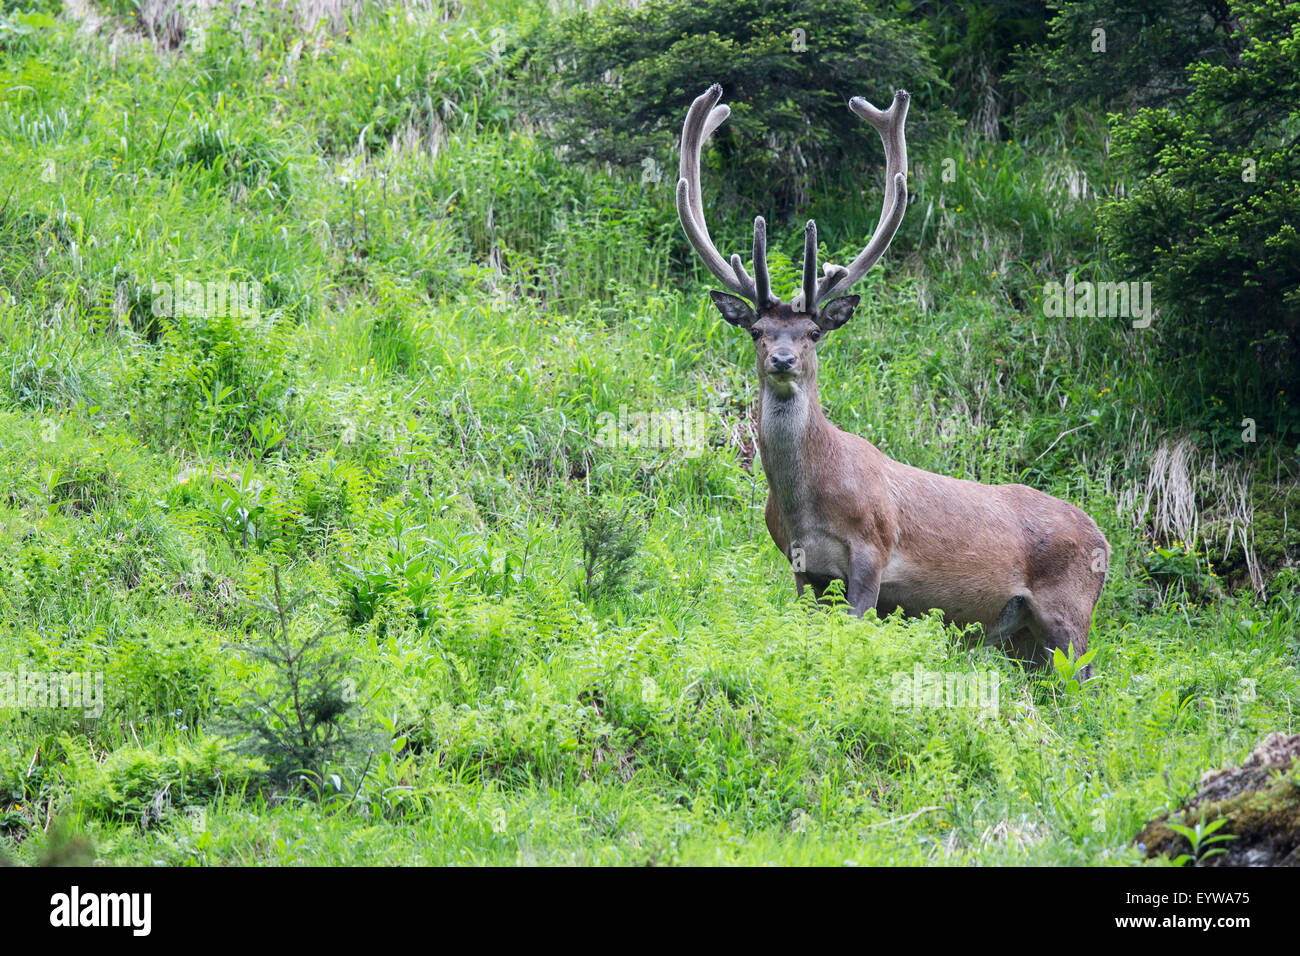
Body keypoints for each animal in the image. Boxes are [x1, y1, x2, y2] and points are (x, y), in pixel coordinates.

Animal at [676, 85, 1112, 676]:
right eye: (758, 331)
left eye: (813, 331)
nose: (783, 360)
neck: (806, 503)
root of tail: (1105, 540)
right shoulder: (801, 568)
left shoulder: (873, 551)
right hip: (1023, 638)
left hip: (1071, 615)